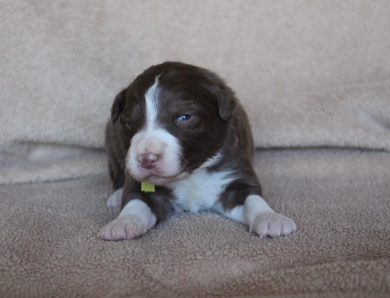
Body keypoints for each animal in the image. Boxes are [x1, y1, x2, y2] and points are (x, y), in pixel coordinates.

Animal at [97, 61, 296, 241]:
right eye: (128, 122)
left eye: (184, 117)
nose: (147, 158)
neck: (191, 174)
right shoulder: (140, 185)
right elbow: (135, 201)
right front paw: (122, 224)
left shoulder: (235, 170)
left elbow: (253, 199)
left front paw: (270, 218)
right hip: (111, 139)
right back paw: (116, 195)